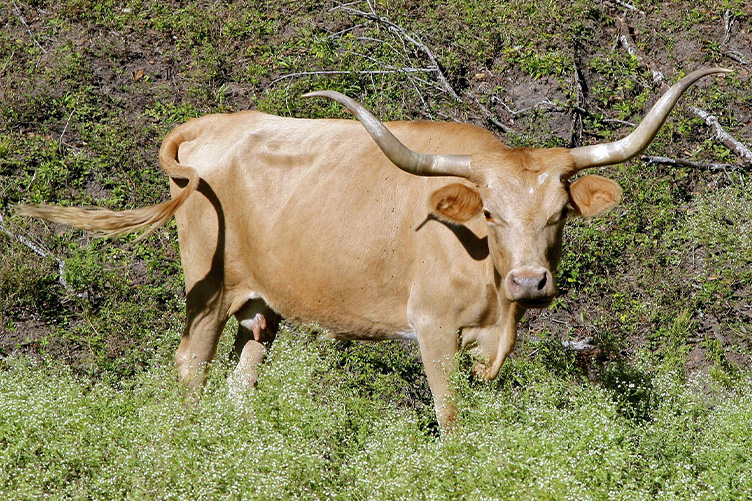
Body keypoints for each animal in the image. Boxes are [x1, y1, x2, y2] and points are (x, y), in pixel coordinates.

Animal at [17, 68, 729, 430]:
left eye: (559, 216)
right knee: (190, 368)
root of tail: (214, 125)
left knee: (242, 379)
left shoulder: (491, 339)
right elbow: (450, 415)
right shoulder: (433, 328)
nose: (530, 282)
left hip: (262, 306)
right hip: (208, 289)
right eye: (490, 213)